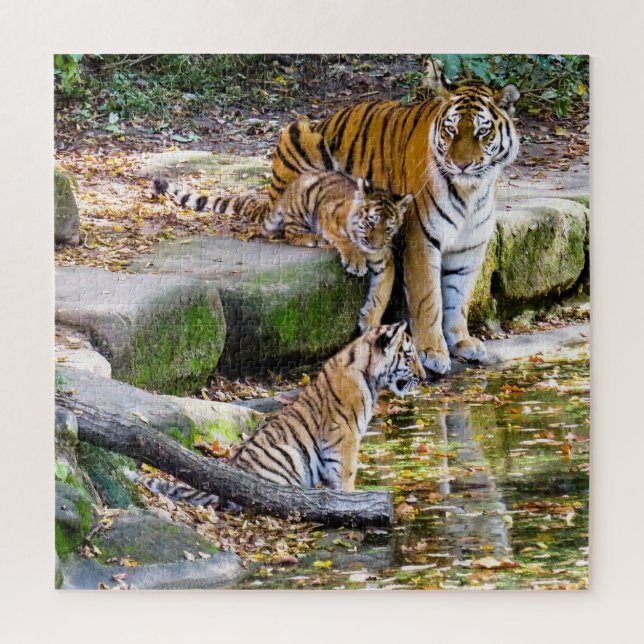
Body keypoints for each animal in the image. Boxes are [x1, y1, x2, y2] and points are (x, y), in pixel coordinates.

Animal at [229, 322, 424, 492]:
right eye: (409, 358)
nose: (424, 377)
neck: (370, 375)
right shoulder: (346, 434)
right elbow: (347, 472)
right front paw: (350, 494)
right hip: (289, 454)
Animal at [262, 169, 413, 331]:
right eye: (371, 223)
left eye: (388, 228)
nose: (376, 247)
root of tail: (291, 186)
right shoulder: (326, 213)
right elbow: (343, 238)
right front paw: (355, 262)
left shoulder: (385, 263)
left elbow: (381, 295)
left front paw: (371, 323)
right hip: (302, 205)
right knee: (290, 234)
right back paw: (316, 238)